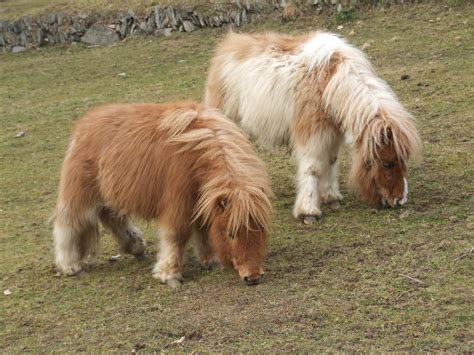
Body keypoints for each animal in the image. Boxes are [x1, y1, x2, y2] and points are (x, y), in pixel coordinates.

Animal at [52, 100, 272, 286]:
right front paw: (169, 274)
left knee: (112, 218)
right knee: (69, 223)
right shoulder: (177, 203)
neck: (198, 152)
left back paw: (136, 247)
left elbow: (203, 230)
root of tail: (84, 125)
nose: (253, 277)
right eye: (231, 233)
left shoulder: (200, 201)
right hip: (81, 194)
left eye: (261, 229)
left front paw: (210, 259)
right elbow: (176, 236)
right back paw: (69, 265)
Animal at [204, 31, 422, 225]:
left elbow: (331, 161)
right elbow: (312, 168)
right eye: (387, 163)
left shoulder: (332, 133)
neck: (330, 81)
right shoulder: (313, 134)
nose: (400, 201)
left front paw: (331, 197)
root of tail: (226, 47)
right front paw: (308, 211)